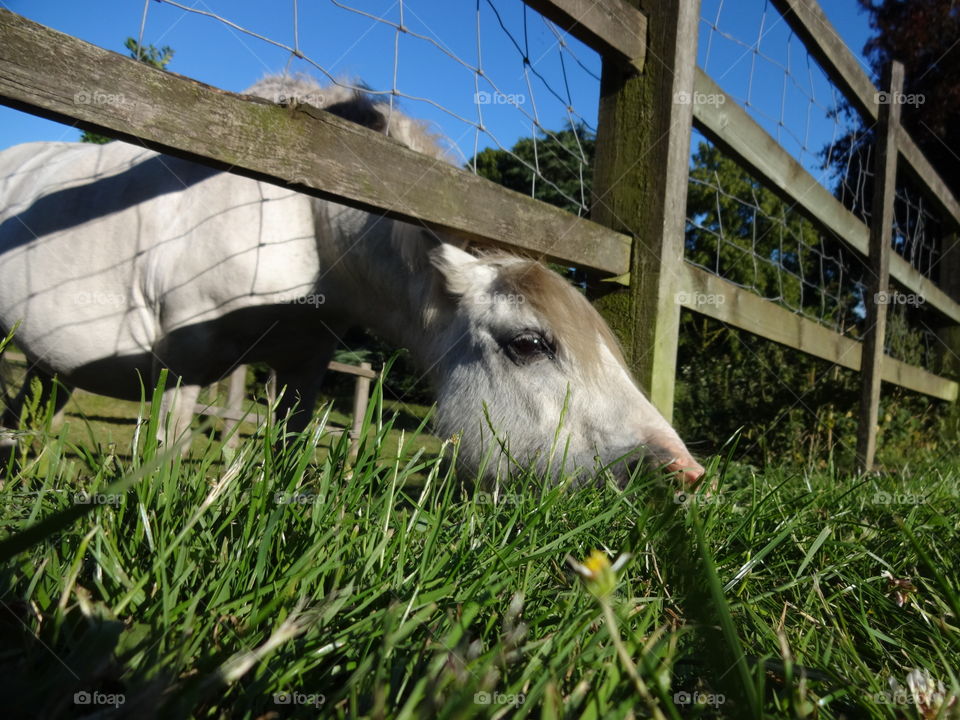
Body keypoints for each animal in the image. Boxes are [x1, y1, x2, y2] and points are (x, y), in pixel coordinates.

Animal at [1, 74, 704, 484]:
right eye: (529, 344)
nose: (685, 474)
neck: (300, 215)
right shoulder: (183, 366)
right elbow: (163, 468)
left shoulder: (304, 365)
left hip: (46, 366)